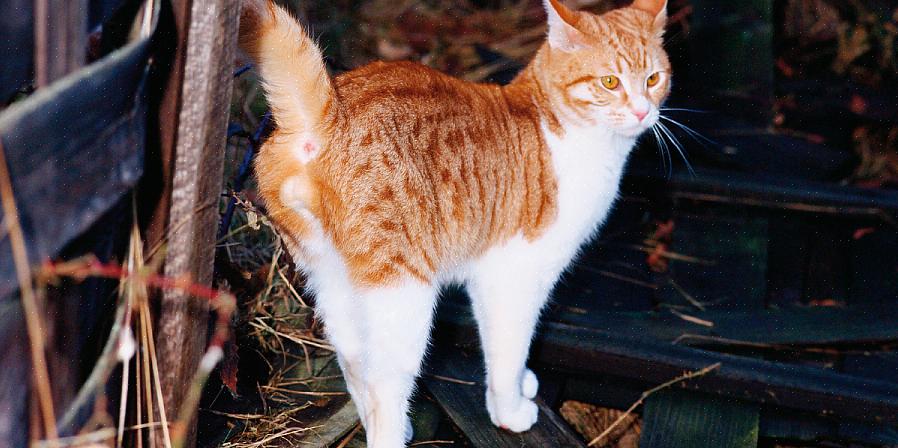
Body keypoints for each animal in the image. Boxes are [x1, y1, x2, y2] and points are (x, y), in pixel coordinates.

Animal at [236, 0, 664, 444]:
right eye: (610, 82)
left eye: (654, 79)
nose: (642, 111)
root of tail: (329, 113)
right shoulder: (512, 278)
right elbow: (508, 351)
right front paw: (510, 409)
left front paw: (524, 383)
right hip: (403, 299)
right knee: (384, 390)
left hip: (334, 284)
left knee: (357, 367)